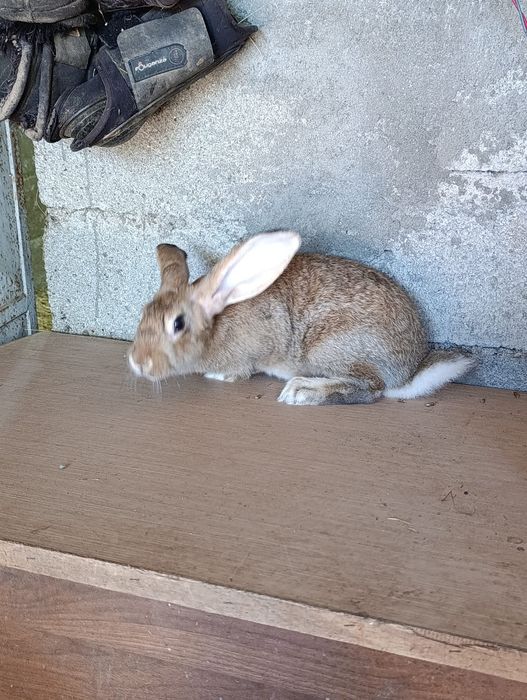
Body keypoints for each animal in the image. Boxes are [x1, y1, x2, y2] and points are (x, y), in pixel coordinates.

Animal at [129, 230, 474, 405]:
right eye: (143, 313)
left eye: (178, 324)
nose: (137, 362)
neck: (215, 326)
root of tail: (408, 372)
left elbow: (240, 372)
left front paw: (219, 376)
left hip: (329, 348)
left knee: (371, 388)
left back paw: (302, 391)